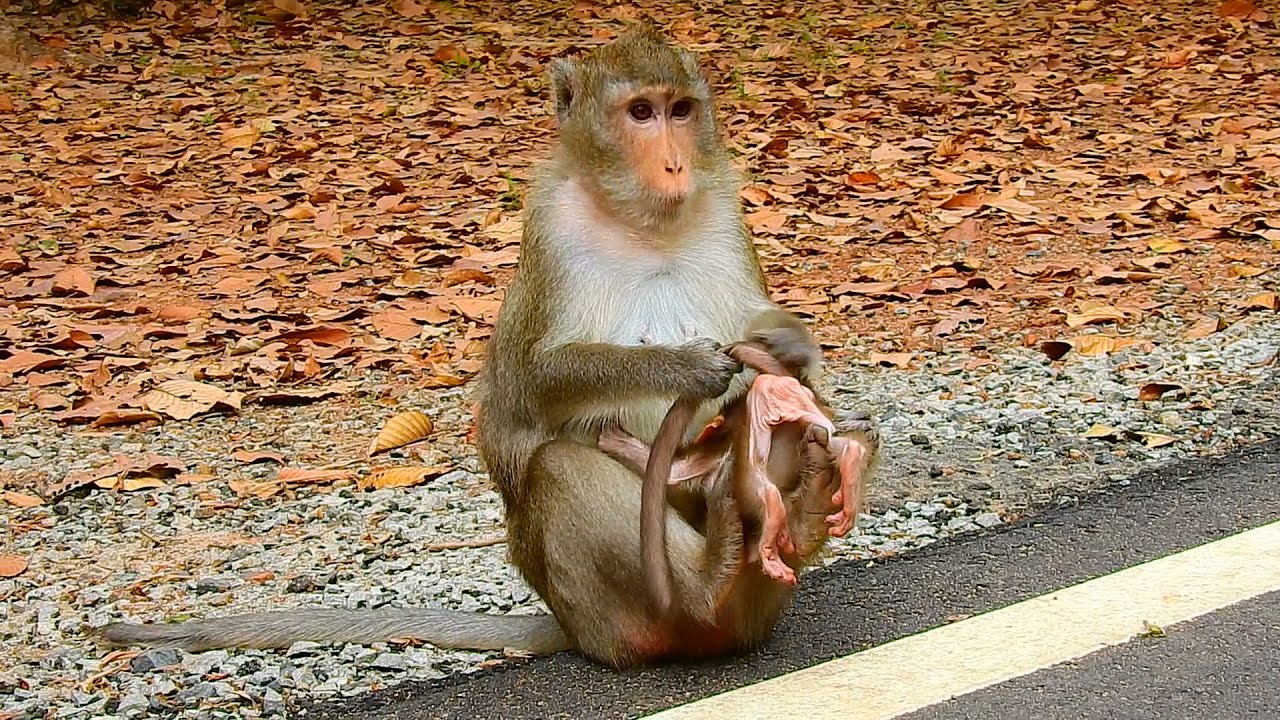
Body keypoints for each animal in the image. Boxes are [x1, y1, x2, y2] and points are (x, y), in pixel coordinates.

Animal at [597, 340, 878, 618]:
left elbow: (678, 472)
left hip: (757, 440)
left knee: (761, 485)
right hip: (810, 417)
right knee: (832, 442)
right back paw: (846, 461)